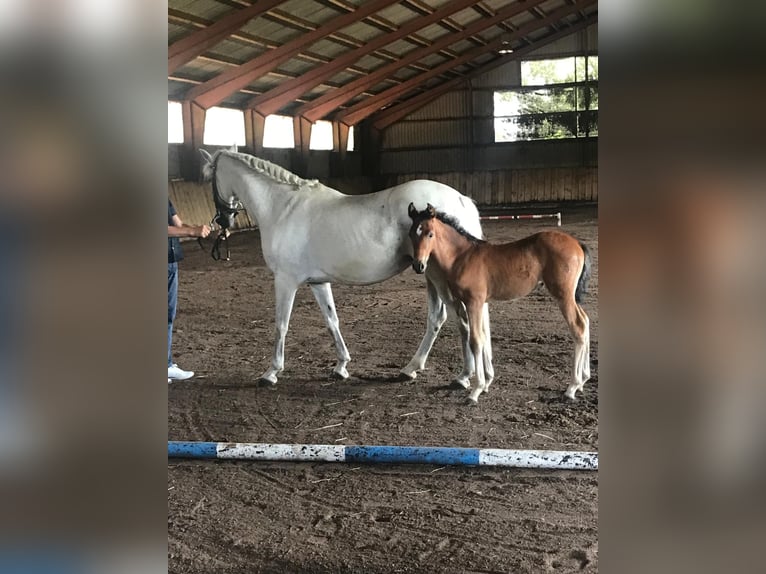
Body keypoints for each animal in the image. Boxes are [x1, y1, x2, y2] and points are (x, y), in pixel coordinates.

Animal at [201, 148, 496, 392]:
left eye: (208, 177)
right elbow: (332, 321)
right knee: (443, 319)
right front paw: (341, 366)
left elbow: (281, 324)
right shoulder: (318, 282)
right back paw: (415, 369)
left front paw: (271, 372)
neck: (283, 207)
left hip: (437, 277)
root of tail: (461, 199)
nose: (224, 220)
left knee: (459, 319)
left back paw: (462, 376)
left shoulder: (285, 281)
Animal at [408, 202, 592, 404]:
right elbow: (483, 337)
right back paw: (583, 380)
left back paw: (572, 387)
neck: (462, 256)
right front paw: (486, 385)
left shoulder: (474, 302)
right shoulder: (478, 303)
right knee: (585, 321)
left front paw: (476, 391)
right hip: (570, 296)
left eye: (430, 234)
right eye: (411, 233)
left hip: (563, 295)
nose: (418, 265)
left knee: (578, 327)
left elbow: (476, 340)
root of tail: (577, 244)